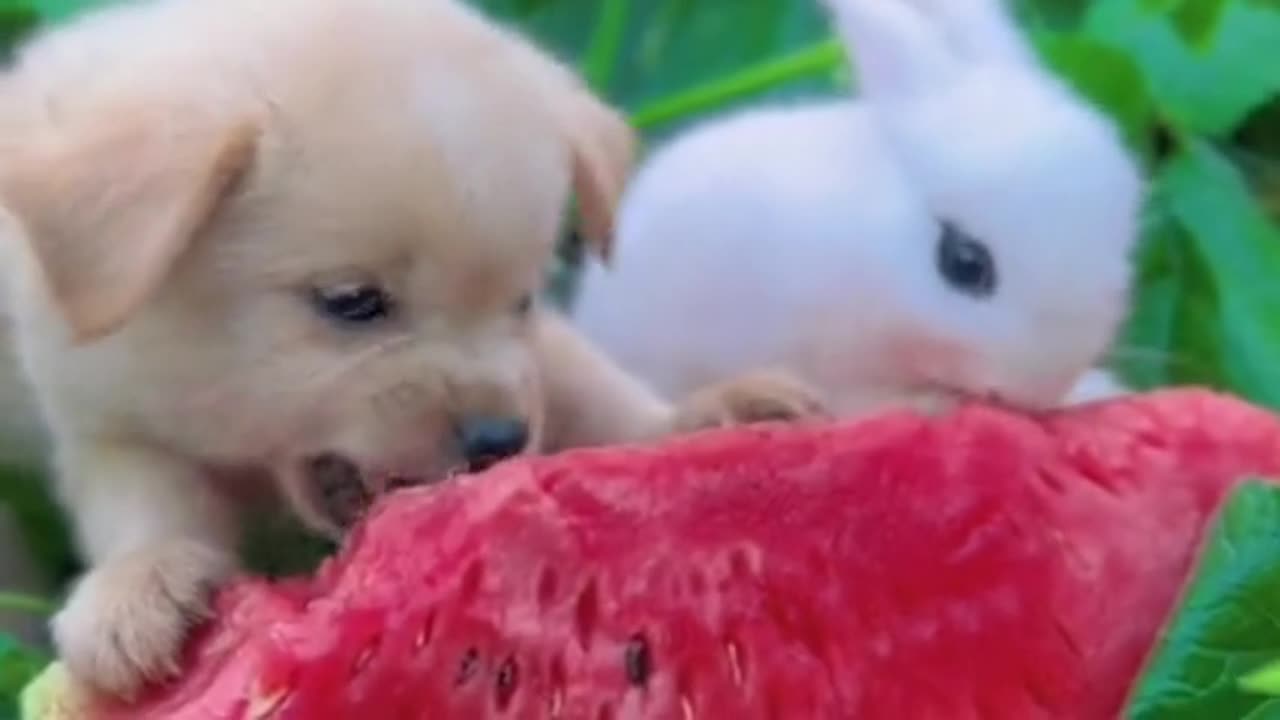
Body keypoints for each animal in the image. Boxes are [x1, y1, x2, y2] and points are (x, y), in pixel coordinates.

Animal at [0, 0, 819, 696]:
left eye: (524, 299)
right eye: (351, 301)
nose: (500, 441)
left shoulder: (539, 356)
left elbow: (591, 385)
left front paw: (696, 419)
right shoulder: (103, 419)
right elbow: (145, 500)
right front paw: (139, 585)